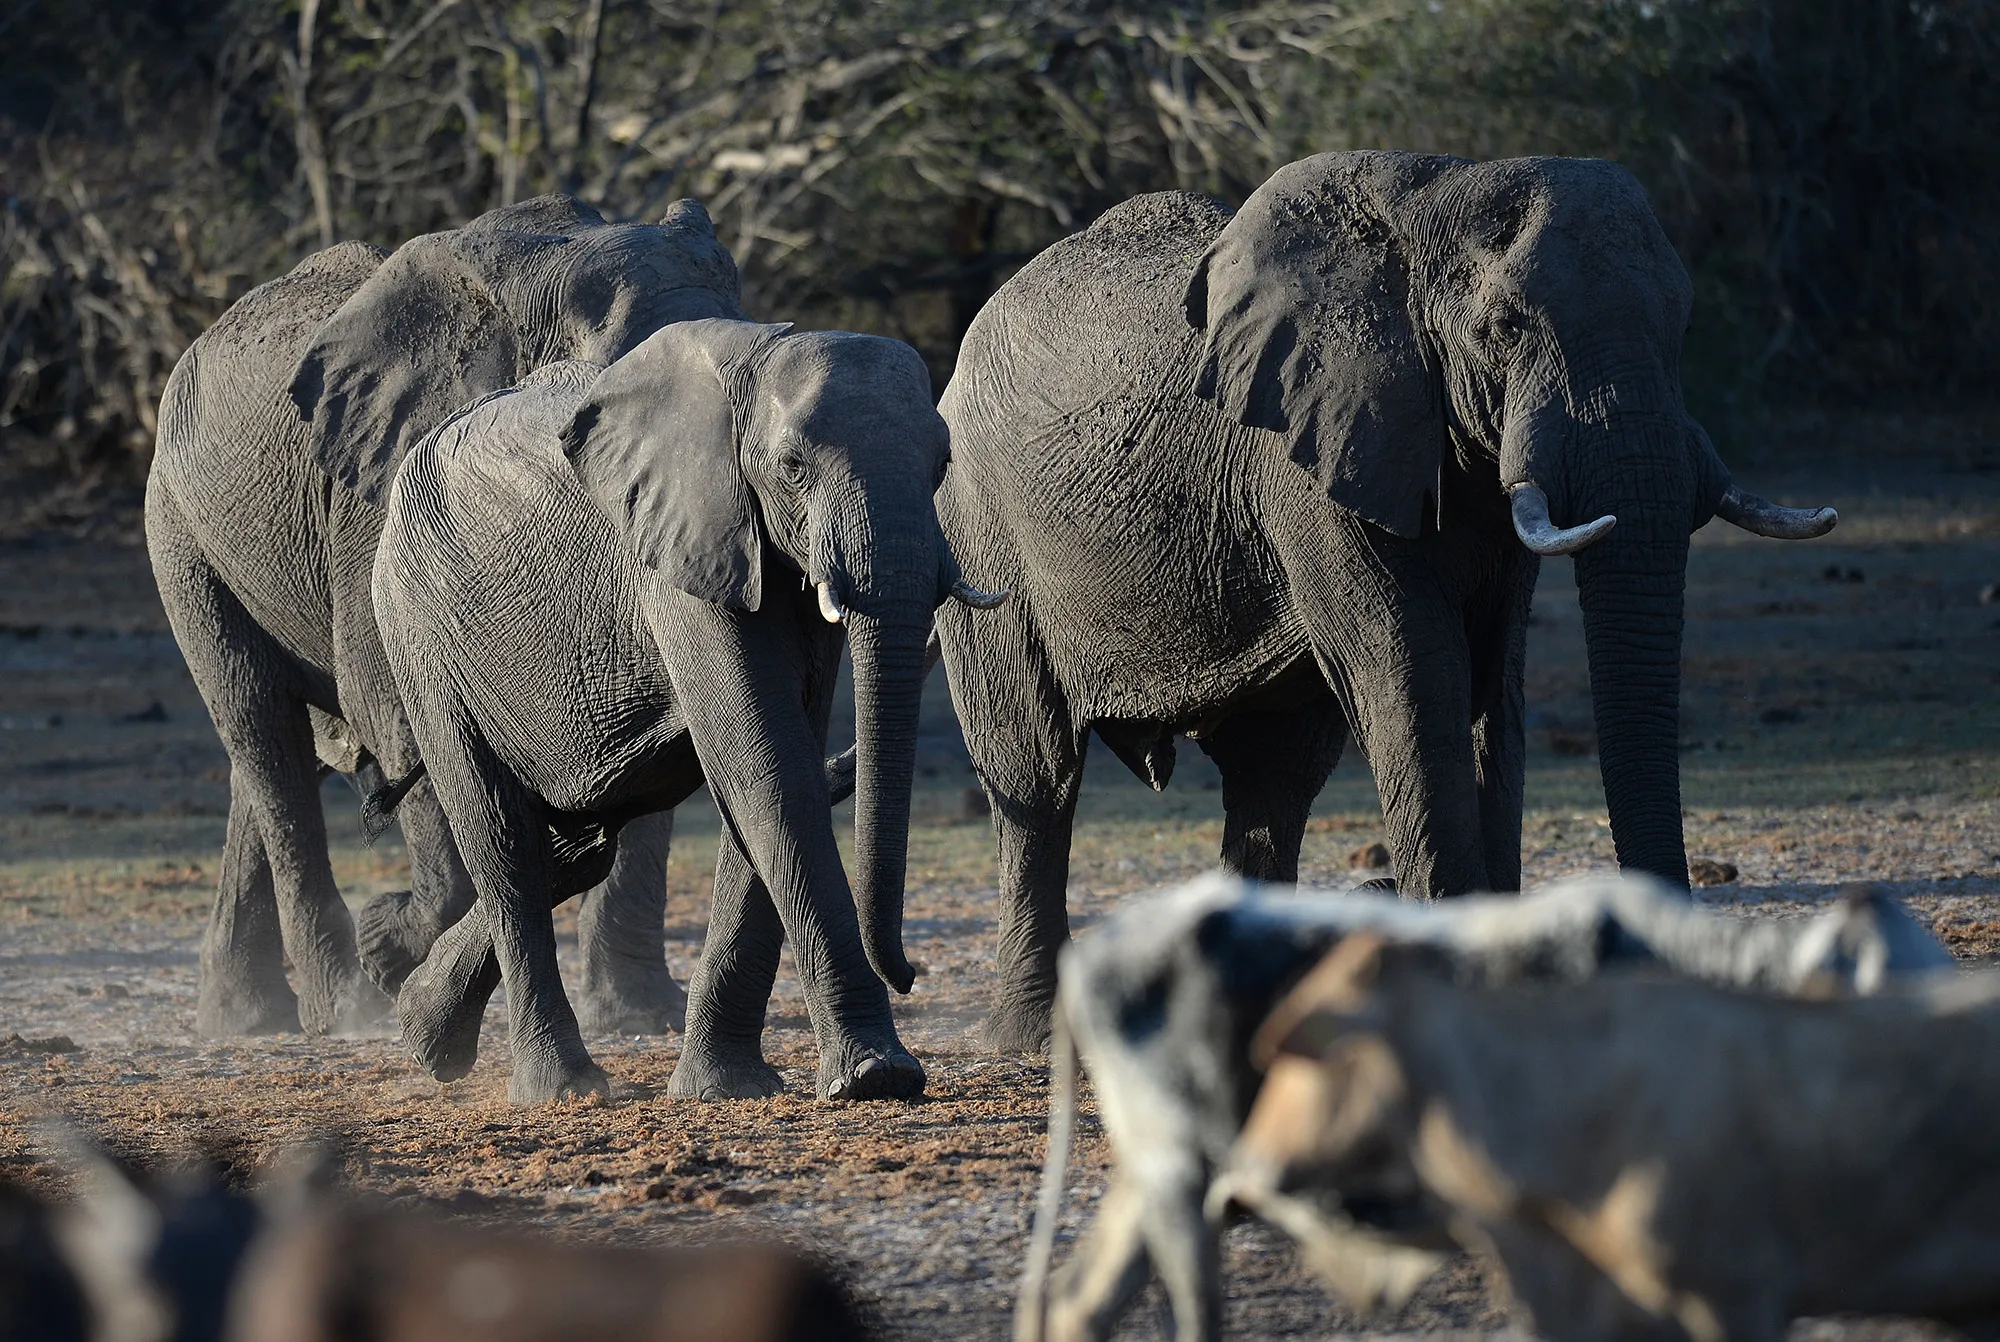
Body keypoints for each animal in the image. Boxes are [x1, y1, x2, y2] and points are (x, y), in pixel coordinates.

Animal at [145, 193, 739, 1039]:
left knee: (265, 755)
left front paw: (641, 1018)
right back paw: (344, 1007)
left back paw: (246, 1017)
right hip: (179, 530)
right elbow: (399, 710)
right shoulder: (382, 499)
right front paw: (389, 952)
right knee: (261, 728)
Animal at [369, 317, 1004, 1104]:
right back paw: (560, 1089)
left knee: (581, 842)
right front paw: (876, 1077)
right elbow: (768, 765)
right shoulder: (687, 550)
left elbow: (772, 764)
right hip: (420, 631)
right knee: (502, 839)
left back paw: (421, 1034)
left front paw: (727, 1088)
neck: (755, 363)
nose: (911, 973)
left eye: (942, 464)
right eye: (793, 467)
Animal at [931, 152, 1835, 1051]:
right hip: (978, 530)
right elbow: (1414, 676)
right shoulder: (1310, 458)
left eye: (1681, 327)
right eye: (1506, 328)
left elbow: (1492, 686)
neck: (1436, 202)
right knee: (1037, 771)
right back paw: (1033, 1036)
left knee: (1274, 776)